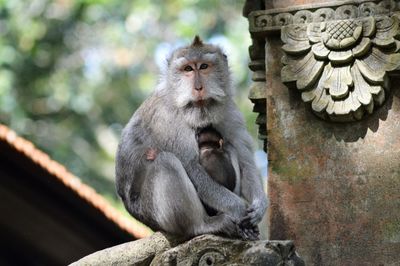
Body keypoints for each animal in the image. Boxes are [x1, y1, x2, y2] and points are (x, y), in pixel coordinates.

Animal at [115, 35, 266, 241]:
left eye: (203, 66)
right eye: (187, 69)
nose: (198, 87)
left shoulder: (231, 112)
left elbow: (246, 162)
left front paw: (259, 206)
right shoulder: (167, 118)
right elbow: (190, 165)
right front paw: (239, 208)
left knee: (228, 148)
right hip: (154, 214)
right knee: (166, 161)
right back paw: (203, 225)